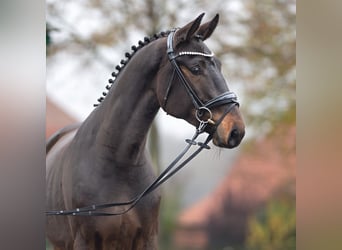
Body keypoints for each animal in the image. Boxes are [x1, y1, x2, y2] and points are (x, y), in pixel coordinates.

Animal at [46, 13, 246, 250]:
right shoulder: (85, 242)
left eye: (220, 65)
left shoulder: (147, 239)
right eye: (196, 68)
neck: (117, 160)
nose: (236, 130)